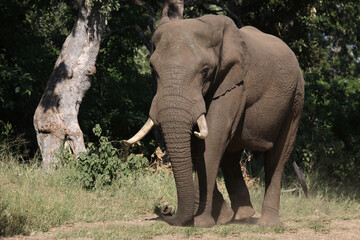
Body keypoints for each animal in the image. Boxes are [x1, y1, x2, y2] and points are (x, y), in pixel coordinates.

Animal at [125, 14, 306, 228]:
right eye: (153, 70)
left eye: (205, 71)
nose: (165, 208)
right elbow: (198, 146)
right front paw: (221, 217)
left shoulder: (234, 82)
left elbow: (213, 139)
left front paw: (200, 222)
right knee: (231, 156)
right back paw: (241, 216)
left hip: (295, 100)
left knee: (276, 158)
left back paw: (267, 224)